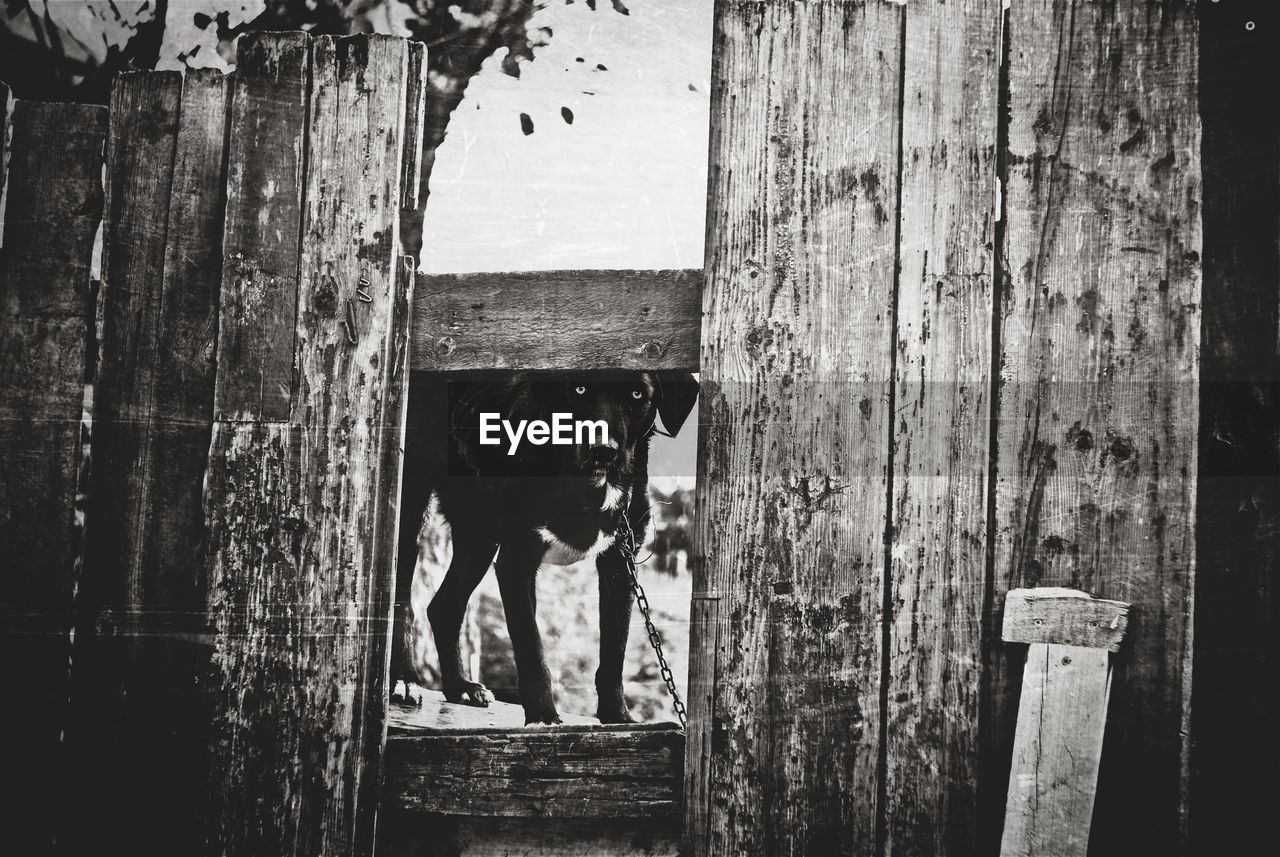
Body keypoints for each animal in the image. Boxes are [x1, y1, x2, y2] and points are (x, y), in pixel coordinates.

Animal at [394, 370, 701, 726]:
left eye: (638, 394)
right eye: (579, 388)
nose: (602, 451)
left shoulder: (620, 562)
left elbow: (614, 652)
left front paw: (618, 717)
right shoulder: (517, 561)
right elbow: (532, 649)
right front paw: (543, 718)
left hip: (479, 533)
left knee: (444, 607)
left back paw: (460, 687)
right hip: (411, 509)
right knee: (403, 601)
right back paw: (405, 679)